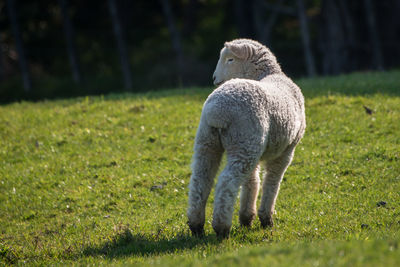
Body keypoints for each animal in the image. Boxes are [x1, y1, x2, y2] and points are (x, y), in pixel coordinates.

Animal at [186, 38, 304, 239]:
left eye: (230, 59)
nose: (214, 79)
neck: (270, 75)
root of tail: (218, 112)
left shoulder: (257, 148)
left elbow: (252, 181)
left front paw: (247, 218)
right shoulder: (286, 150)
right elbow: (272, 182)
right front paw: (266, 219)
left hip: (212, 142)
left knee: (201, 180)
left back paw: (196, 226)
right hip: (244, 143)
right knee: (227, 182)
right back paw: (221, 227)